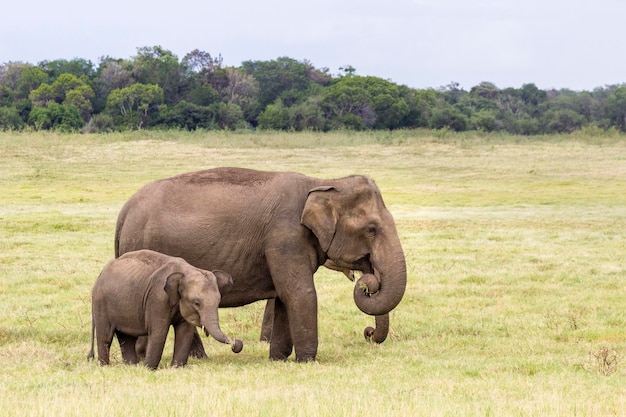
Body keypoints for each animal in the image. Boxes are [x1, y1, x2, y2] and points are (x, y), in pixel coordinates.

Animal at [89, 247, 243, 368]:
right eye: (197, 303)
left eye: (218, 302)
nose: (236, 344)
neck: (186, 271)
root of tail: (100, 275)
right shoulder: (158, 298)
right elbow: (159, 331)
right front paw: (149, 369)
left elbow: (185, 331)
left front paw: (176, 368)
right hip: (100, 303)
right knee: (105, 337)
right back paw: (106, 366)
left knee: (126, 337)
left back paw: (131, 366)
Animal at [115, 167, 404, 360]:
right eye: (371, 229)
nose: (368, 333)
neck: (323, 182)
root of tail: (125, 211)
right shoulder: (285, 236)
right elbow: (299, 293)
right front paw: (307, 360)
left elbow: (284, 298)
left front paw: (278, 359)